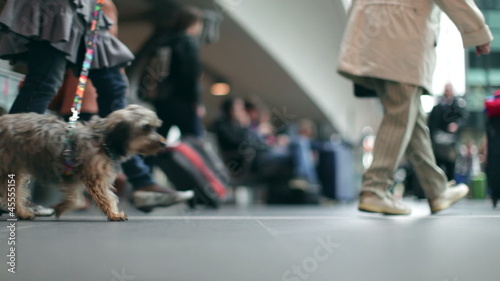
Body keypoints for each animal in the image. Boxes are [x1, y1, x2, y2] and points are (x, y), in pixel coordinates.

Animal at [0, 104, 165, 220]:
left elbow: (76, 199)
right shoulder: (95, 178)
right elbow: (107, 197)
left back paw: (22, 212)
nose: (163, 143)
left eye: (155, 127)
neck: (102, 140)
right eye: (146, 127)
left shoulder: (72, 177)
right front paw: (114, 214)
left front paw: (62, 206)